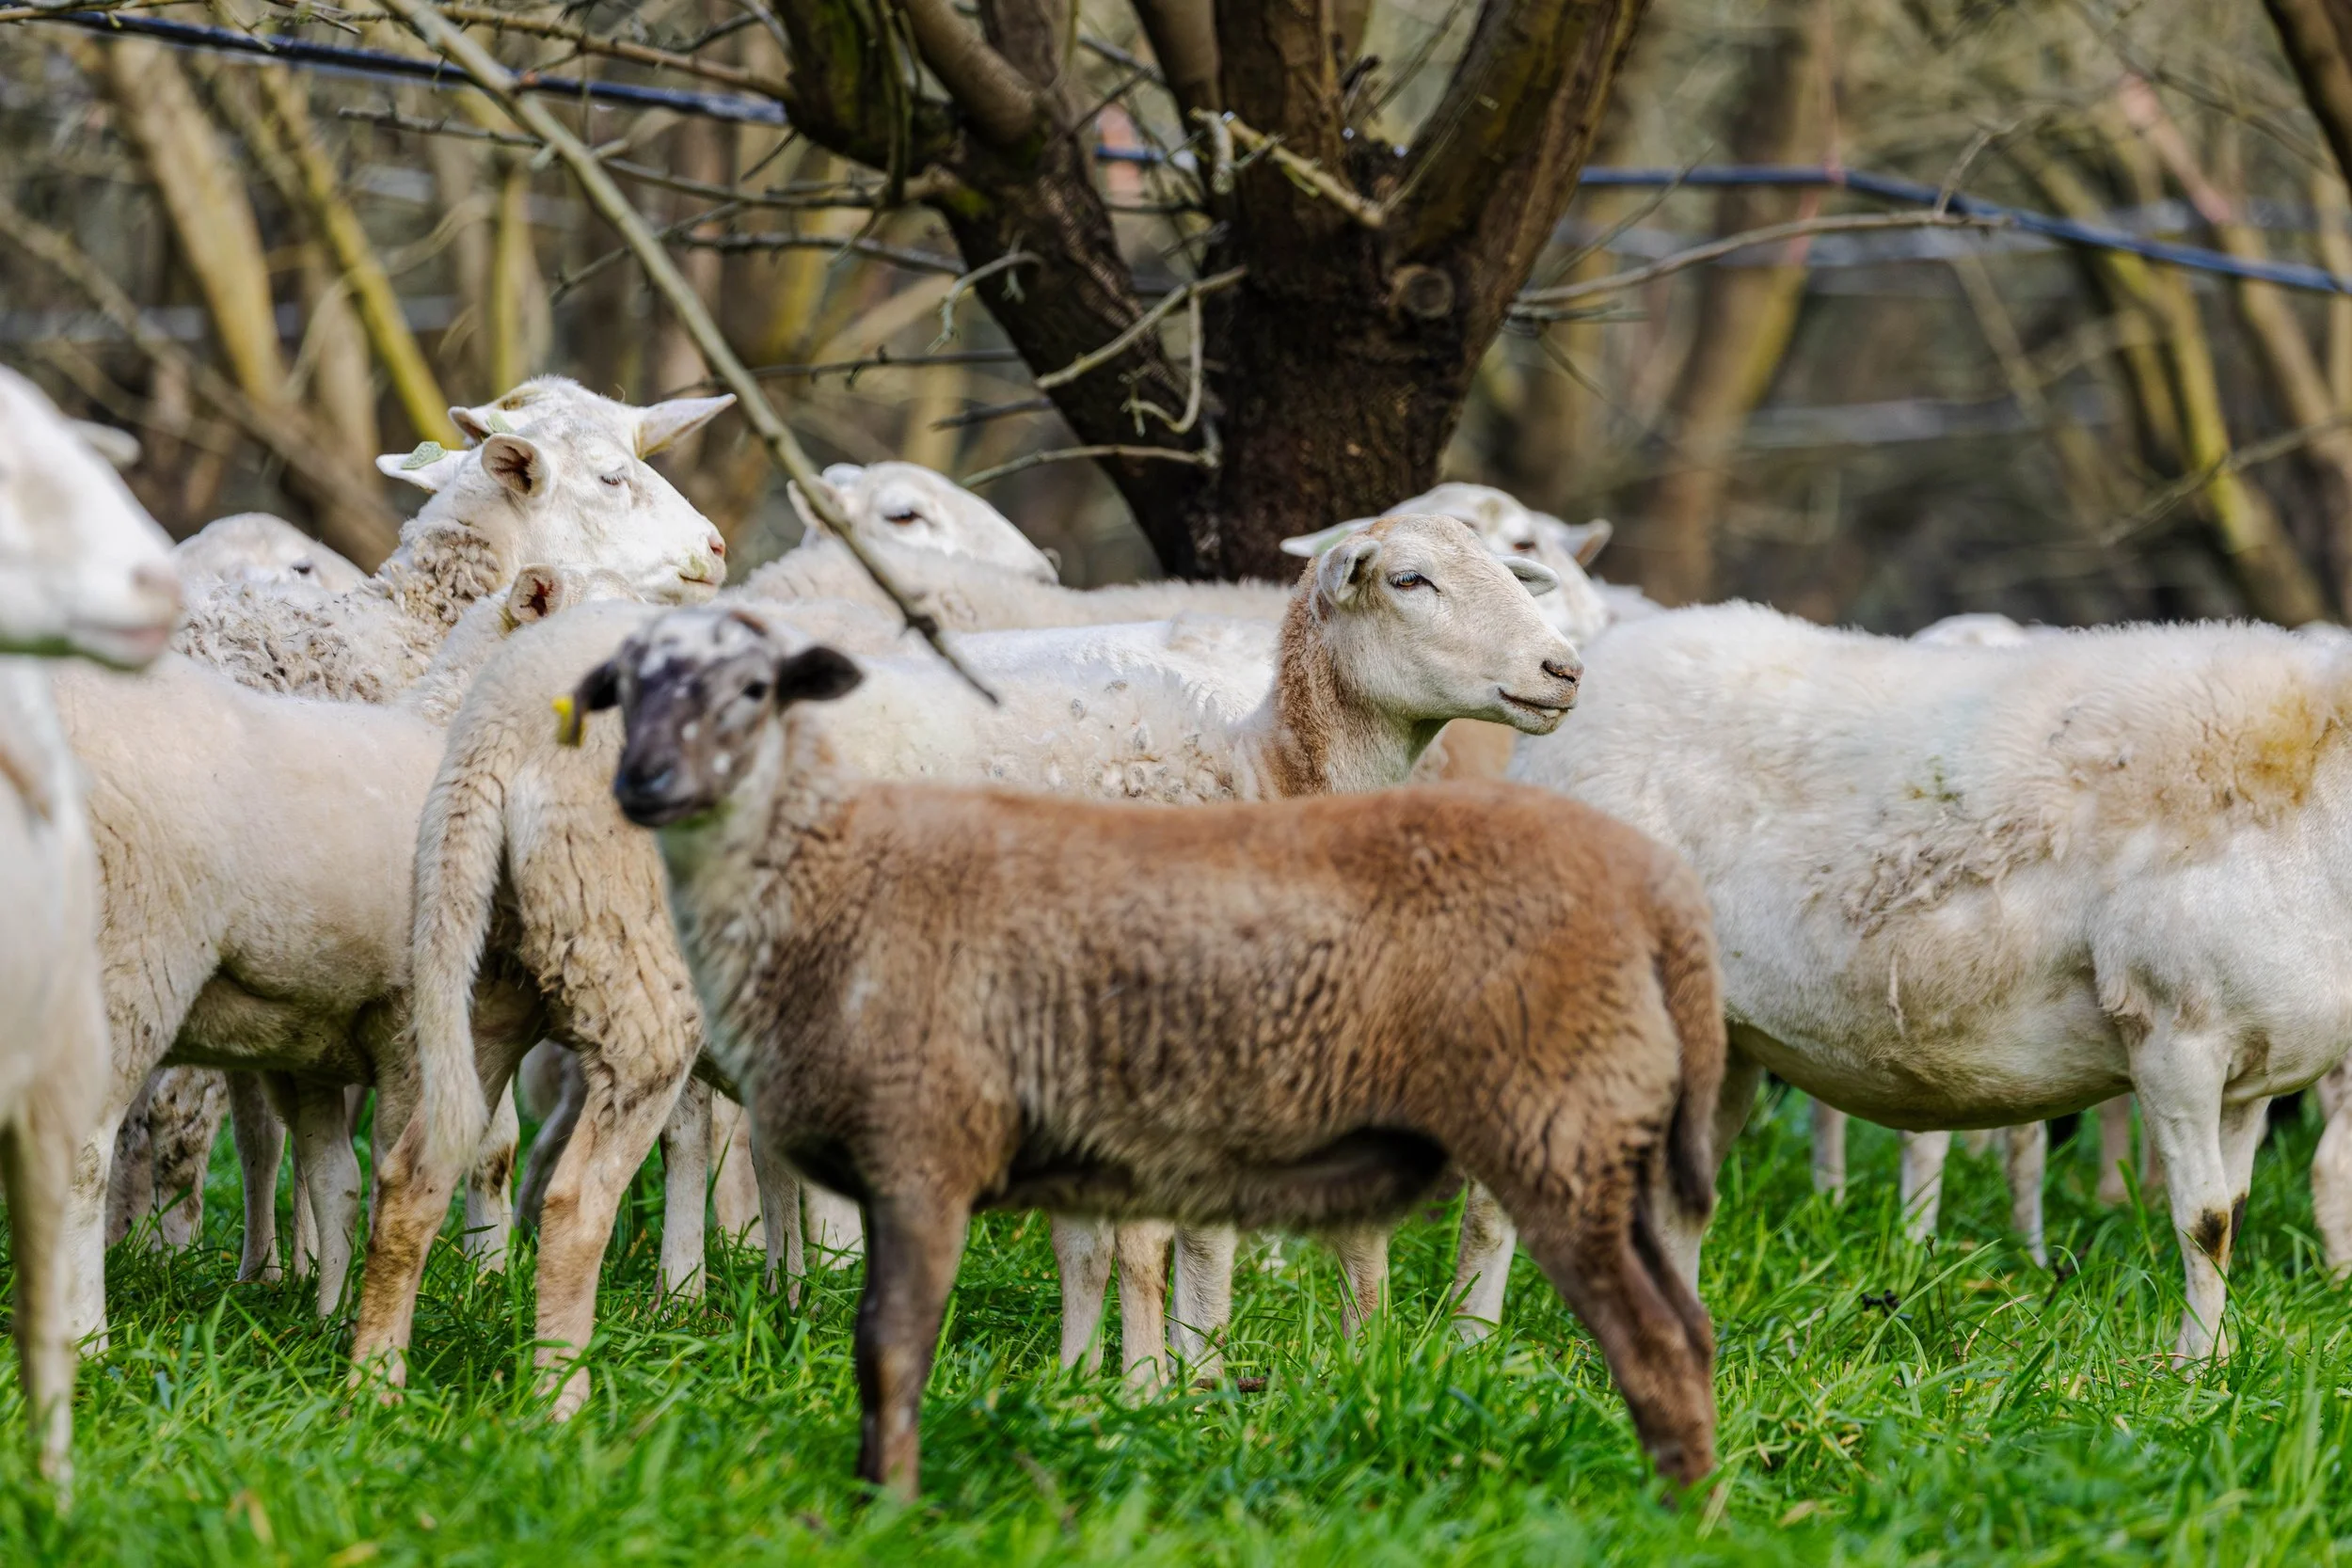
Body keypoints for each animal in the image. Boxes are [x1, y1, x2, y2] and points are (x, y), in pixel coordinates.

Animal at [50, 565, 635, 1344]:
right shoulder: (410, 1020)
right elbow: (408, 1161)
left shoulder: (311, 1047)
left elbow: (335, 1179)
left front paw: (328, 1314)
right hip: (128, 964)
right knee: (82, 1154)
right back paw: (87, 1334)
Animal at [353, 516, 1580, 1415]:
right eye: (1411, 578)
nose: (1563, 667)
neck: (1266, 774)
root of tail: (503, 723)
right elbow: (1147, 1242)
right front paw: (1155, 1386)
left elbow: (1095, 1243)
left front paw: (1096, 1381)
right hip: (636, 967)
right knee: (575, 1204)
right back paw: (562, 1410)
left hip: (496, 962)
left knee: (414, 1171)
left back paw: (377, 1389)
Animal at [1510, 603, 2352, 1362]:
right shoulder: (2175, 1038)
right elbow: (2205, 1222)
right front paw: (2192, 1372)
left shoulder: (2247, 1070)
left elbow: (2232, 1210)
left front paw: (2218, 1364)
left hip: (1718, 1037)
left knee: (1670, 1204)